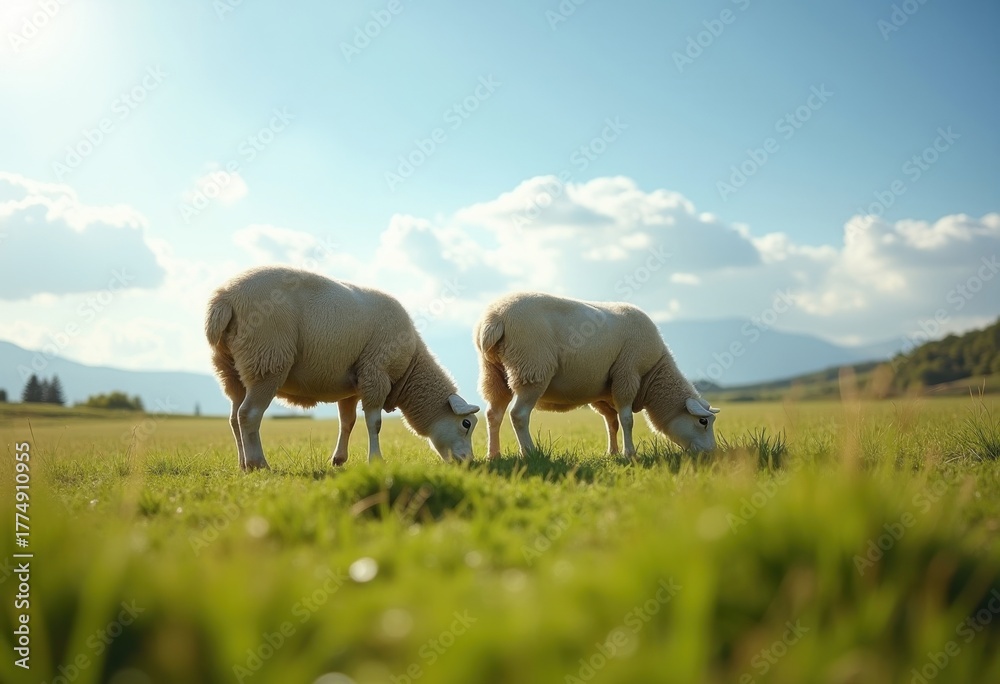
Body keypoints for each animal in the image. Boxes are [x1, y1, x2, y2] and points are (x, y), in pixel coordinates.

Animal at [205, 266, 480, 470]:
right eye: (466, 424)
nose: (469, 462)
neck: (410, 370)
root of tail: (225, 298)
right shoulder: (375, 373)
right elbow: (374, 423)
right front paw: (376, 460)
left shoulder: (352, 386)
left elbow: (347, 422)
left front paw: (338, 460)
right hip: (267, 358)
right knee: (248, 414)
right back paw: (258, 463)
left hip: (231, 369)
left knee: (234, 417)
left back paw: (242, 464)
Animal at [474, 292, 719, 458]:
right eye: (703, 421)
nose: (712, 453)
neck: (653, 376)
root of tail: (495, 319)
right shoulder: (627, 374)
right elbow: (627, 420)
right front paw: (629, 454)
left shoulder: (604, 394)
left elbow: (612, 422)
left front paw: (612, 452)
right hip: (532, 368)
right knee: (519, 414)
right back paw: (530, 452)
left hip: (494, 374)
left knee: (493, 414)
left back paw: (493, 455)